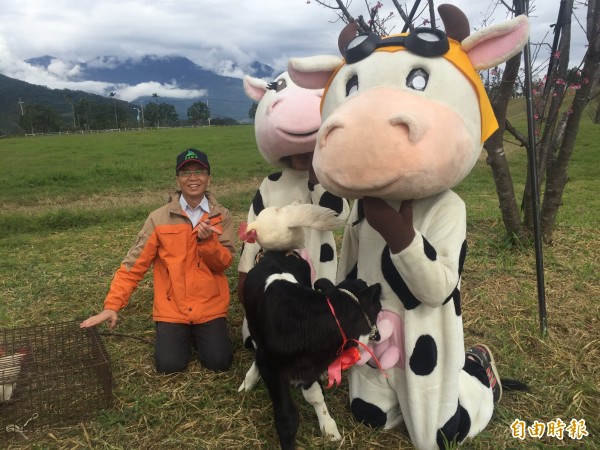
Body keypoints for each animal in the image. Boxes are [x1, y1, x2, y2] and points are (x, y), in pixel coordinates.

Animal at [238, 250, 380, 450]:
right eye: (379, 308)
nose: (379, 335)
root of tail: (275, 253)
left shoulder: (310, 367)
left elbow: (315, 396)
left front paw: (329, 427)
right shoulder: (272, 369)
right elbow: (287, 416)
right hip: (254, 326)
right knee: (257, 351)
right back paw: (249, 380)